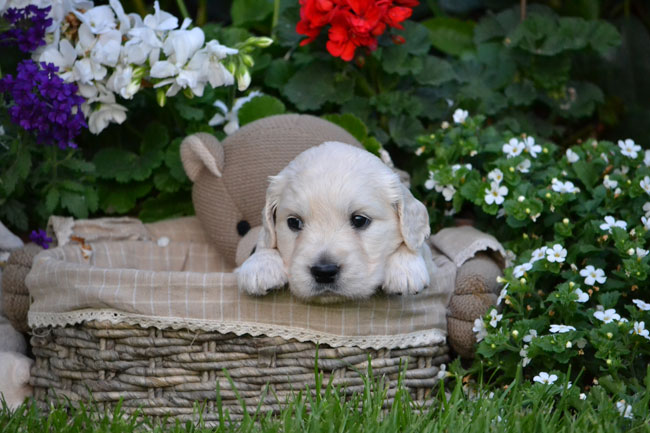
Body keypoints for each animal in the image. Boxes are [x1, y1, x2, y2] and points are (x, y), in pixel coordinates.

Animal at [234, 140, 430, 302]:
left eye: (359, 220)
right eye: (294, 223)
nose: (324, 272)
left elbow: (415, 246)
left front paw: (405, 269)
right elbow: (265, 244)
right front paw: (261, 266)